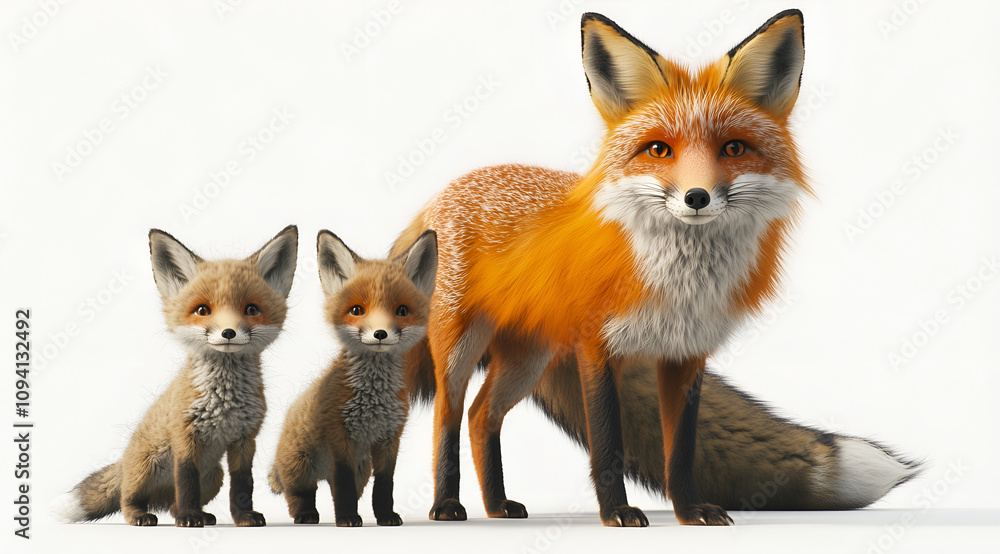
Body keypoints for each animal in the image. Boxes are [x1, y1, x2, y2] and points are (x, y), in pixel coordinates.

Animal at [54, 225, 298, 527]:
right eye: (203, 310)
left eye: (251, 309)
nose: (228, 332)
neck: (224, 401)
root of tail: (124, 459)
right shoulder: (185, 436)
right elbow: (186, 481)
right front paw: (189, 518)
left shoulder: (245, 440)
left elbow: (243, 485)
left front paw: (242, 517)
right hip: (145, 468)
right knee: (127, 499)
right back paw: (142, 515)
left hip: (214, 477)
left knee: (172, 504)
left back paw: (197, 514)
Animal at [268, 230, 437, 527]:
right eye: (357, 310)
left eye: (402, 311)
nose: (380, 334)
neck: (374, 399)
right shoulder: (340, 436)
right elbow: (343, 485)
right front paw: (347, 518)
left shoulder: (389, 437)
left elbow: (384, 485)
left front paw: (385, 516)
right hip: (300, 467)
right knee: (299, 494)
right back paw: (306, 515)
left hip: (362, 468)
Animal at [391, 10, 919, 527]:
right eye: (658, 149)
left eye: (733, 148)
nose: (697, 197)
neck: (680, 283)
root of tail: (443, 193)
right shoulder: (595, 346)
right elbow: (608, 442)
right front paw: (617, 513)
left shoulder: (686, 353)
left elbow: (680, 450)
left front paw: (690, 513)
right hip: (459, 346)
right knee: (448, 415)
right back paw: (447, 506)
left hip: (529, 358)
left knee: (483, 415)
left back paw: (499, 505)